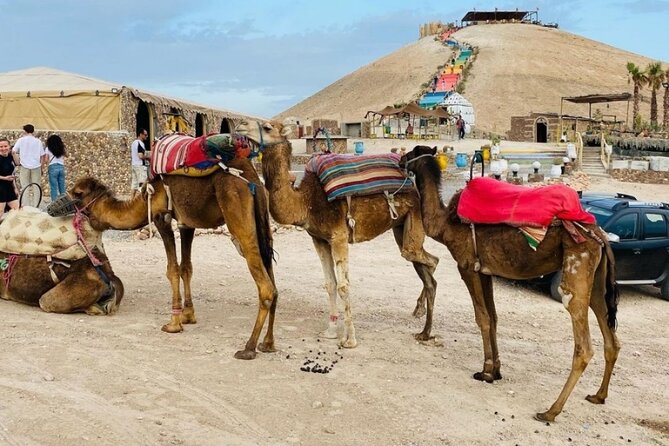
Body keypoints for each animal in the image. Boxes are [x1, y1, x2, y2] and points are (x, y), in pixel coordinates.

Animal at [67, 165, 277, 360]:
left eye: (77, 193)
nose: (62, 199)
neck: (144, 201)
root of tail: (254, 183)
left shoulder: (162, 217)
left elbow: (172, 270)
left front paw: (173, 324)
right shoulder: (186, 223)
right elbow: (186, 268)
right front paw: (188, 316)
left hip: (238, 214)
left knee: (266, 287)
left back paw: (249, 348)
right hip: (262, 223)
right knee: (273, 281)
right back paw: (268, 343)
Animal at [236, 120, 439, 348]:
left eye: (267, 127)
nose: (240, 125)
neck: (306, 202)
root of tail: (414, 187)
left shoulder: (339, 237)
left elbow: (343, 286)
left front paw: (350, 339)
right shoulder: (319, 239)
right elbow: (330, 284)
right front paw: (331, 331)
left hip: (413, 217)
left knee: (426, 258)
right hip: (399, 227)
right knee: (430, 260)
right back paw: (419, 309)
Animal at [400, 145, 620, 421]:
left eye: (411, 154)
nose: (400, 160)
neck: (445, 224)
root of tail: (600, 235)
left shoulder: (467, 267)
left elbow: (482, 318)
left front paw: (485, 371)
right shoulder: (485, 270)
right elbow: (494, 318)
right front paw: (495, 371)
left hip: (577, 266)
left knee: (583, 343)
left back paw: (550, 411)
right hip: (598, 279)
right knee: (610, 336)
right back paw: (598, 396)